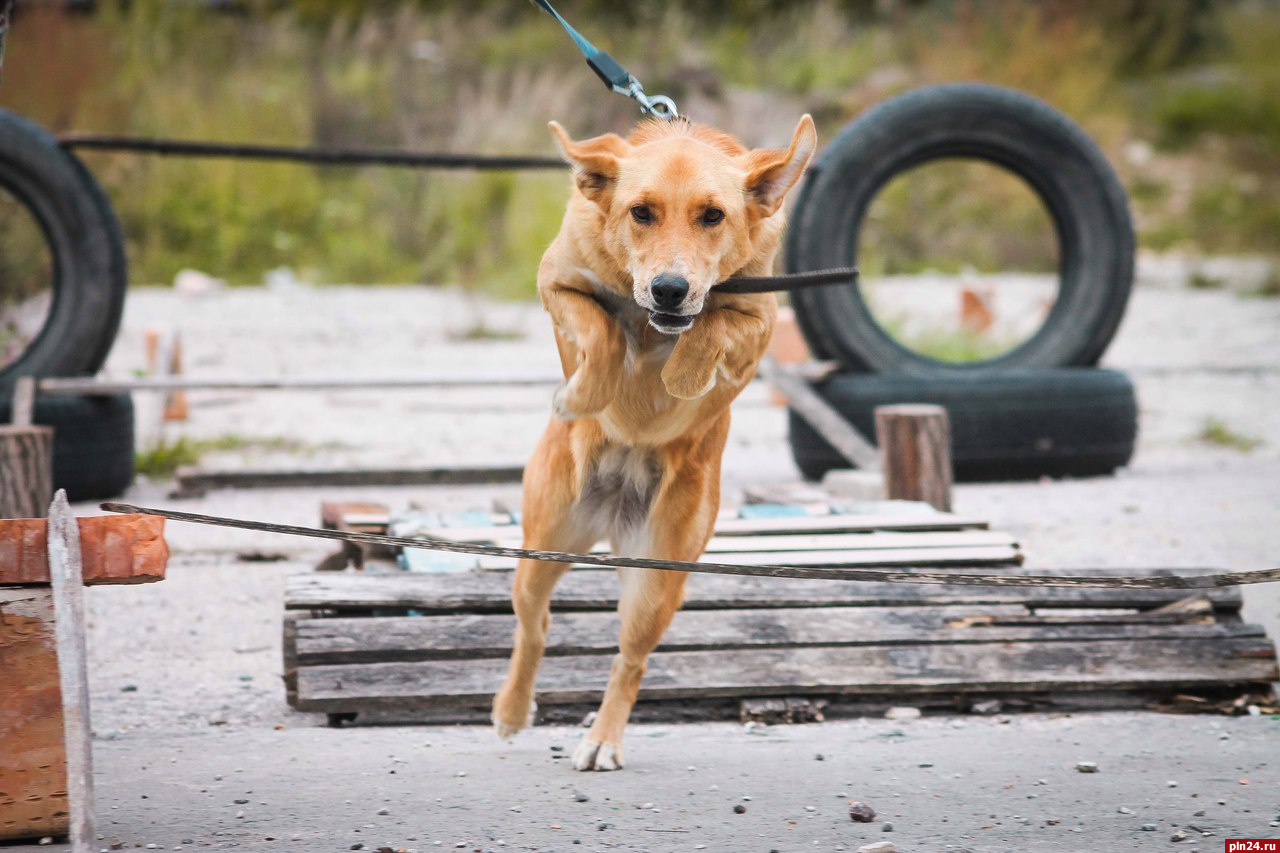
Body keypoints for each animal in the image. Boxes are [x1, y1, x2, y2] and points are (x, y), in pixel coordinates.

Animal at [491, 112, 819, 768]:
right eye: (640, 212)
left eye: (712, 215)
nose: (669, 289)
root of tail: (613, 513)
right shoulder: (558, 281)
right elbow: (601, 329)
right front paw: (587, 395)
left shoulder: (760, 321)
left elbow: (711, 325)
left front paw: (681, 374)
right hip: (541, 551)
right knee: (534, 628)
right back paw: (513, 711)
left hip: (658, 578)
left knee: (631, 660)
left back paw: (602, 739)